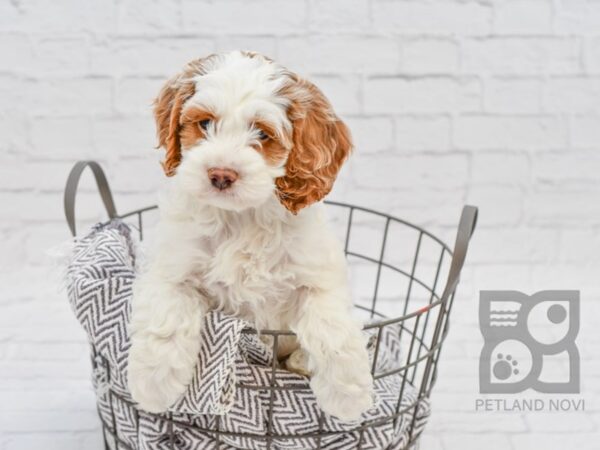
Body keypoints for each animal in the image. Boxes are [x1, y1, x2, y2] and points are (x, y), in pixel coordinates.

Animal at [128, 51, 372, 422]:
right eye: (205, 124)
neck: (241, 218)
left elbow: (332, 326)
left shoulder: (317, 274)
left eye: (262, 133)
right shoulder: (173, 265)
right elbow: (167, 316)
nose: (220, 174)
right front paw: (153, 384)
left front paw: (348, 395)